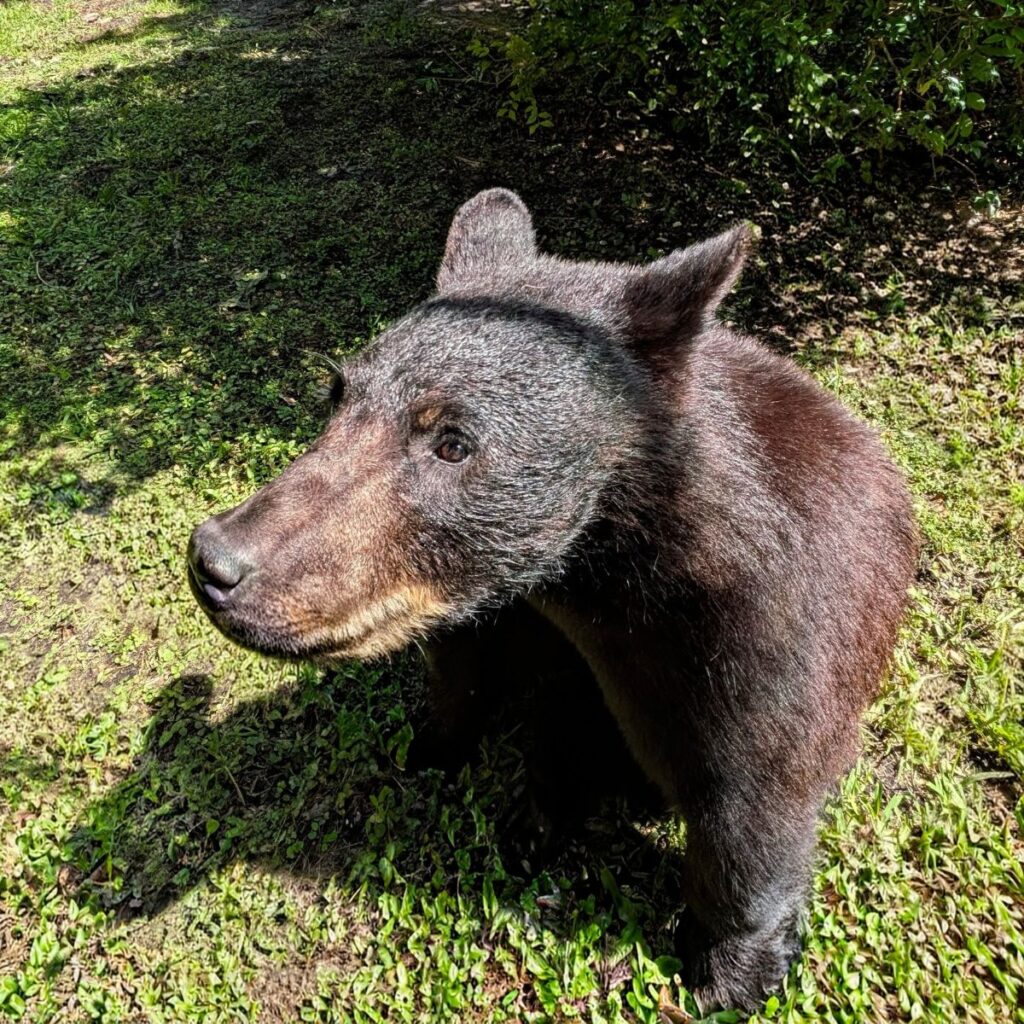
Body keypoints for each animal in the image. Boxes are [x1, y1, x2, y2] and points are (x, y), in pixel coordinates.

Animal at [187, 188, 919, 1011]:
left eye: (452, 441)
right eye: (337, 392)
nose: (217, 563)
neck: (604, 582)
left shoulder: (765, 637)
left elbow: (755, 800)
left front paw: (729, 971)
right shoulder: (537, 628)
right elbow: (535, 716)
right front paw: (520, 818)